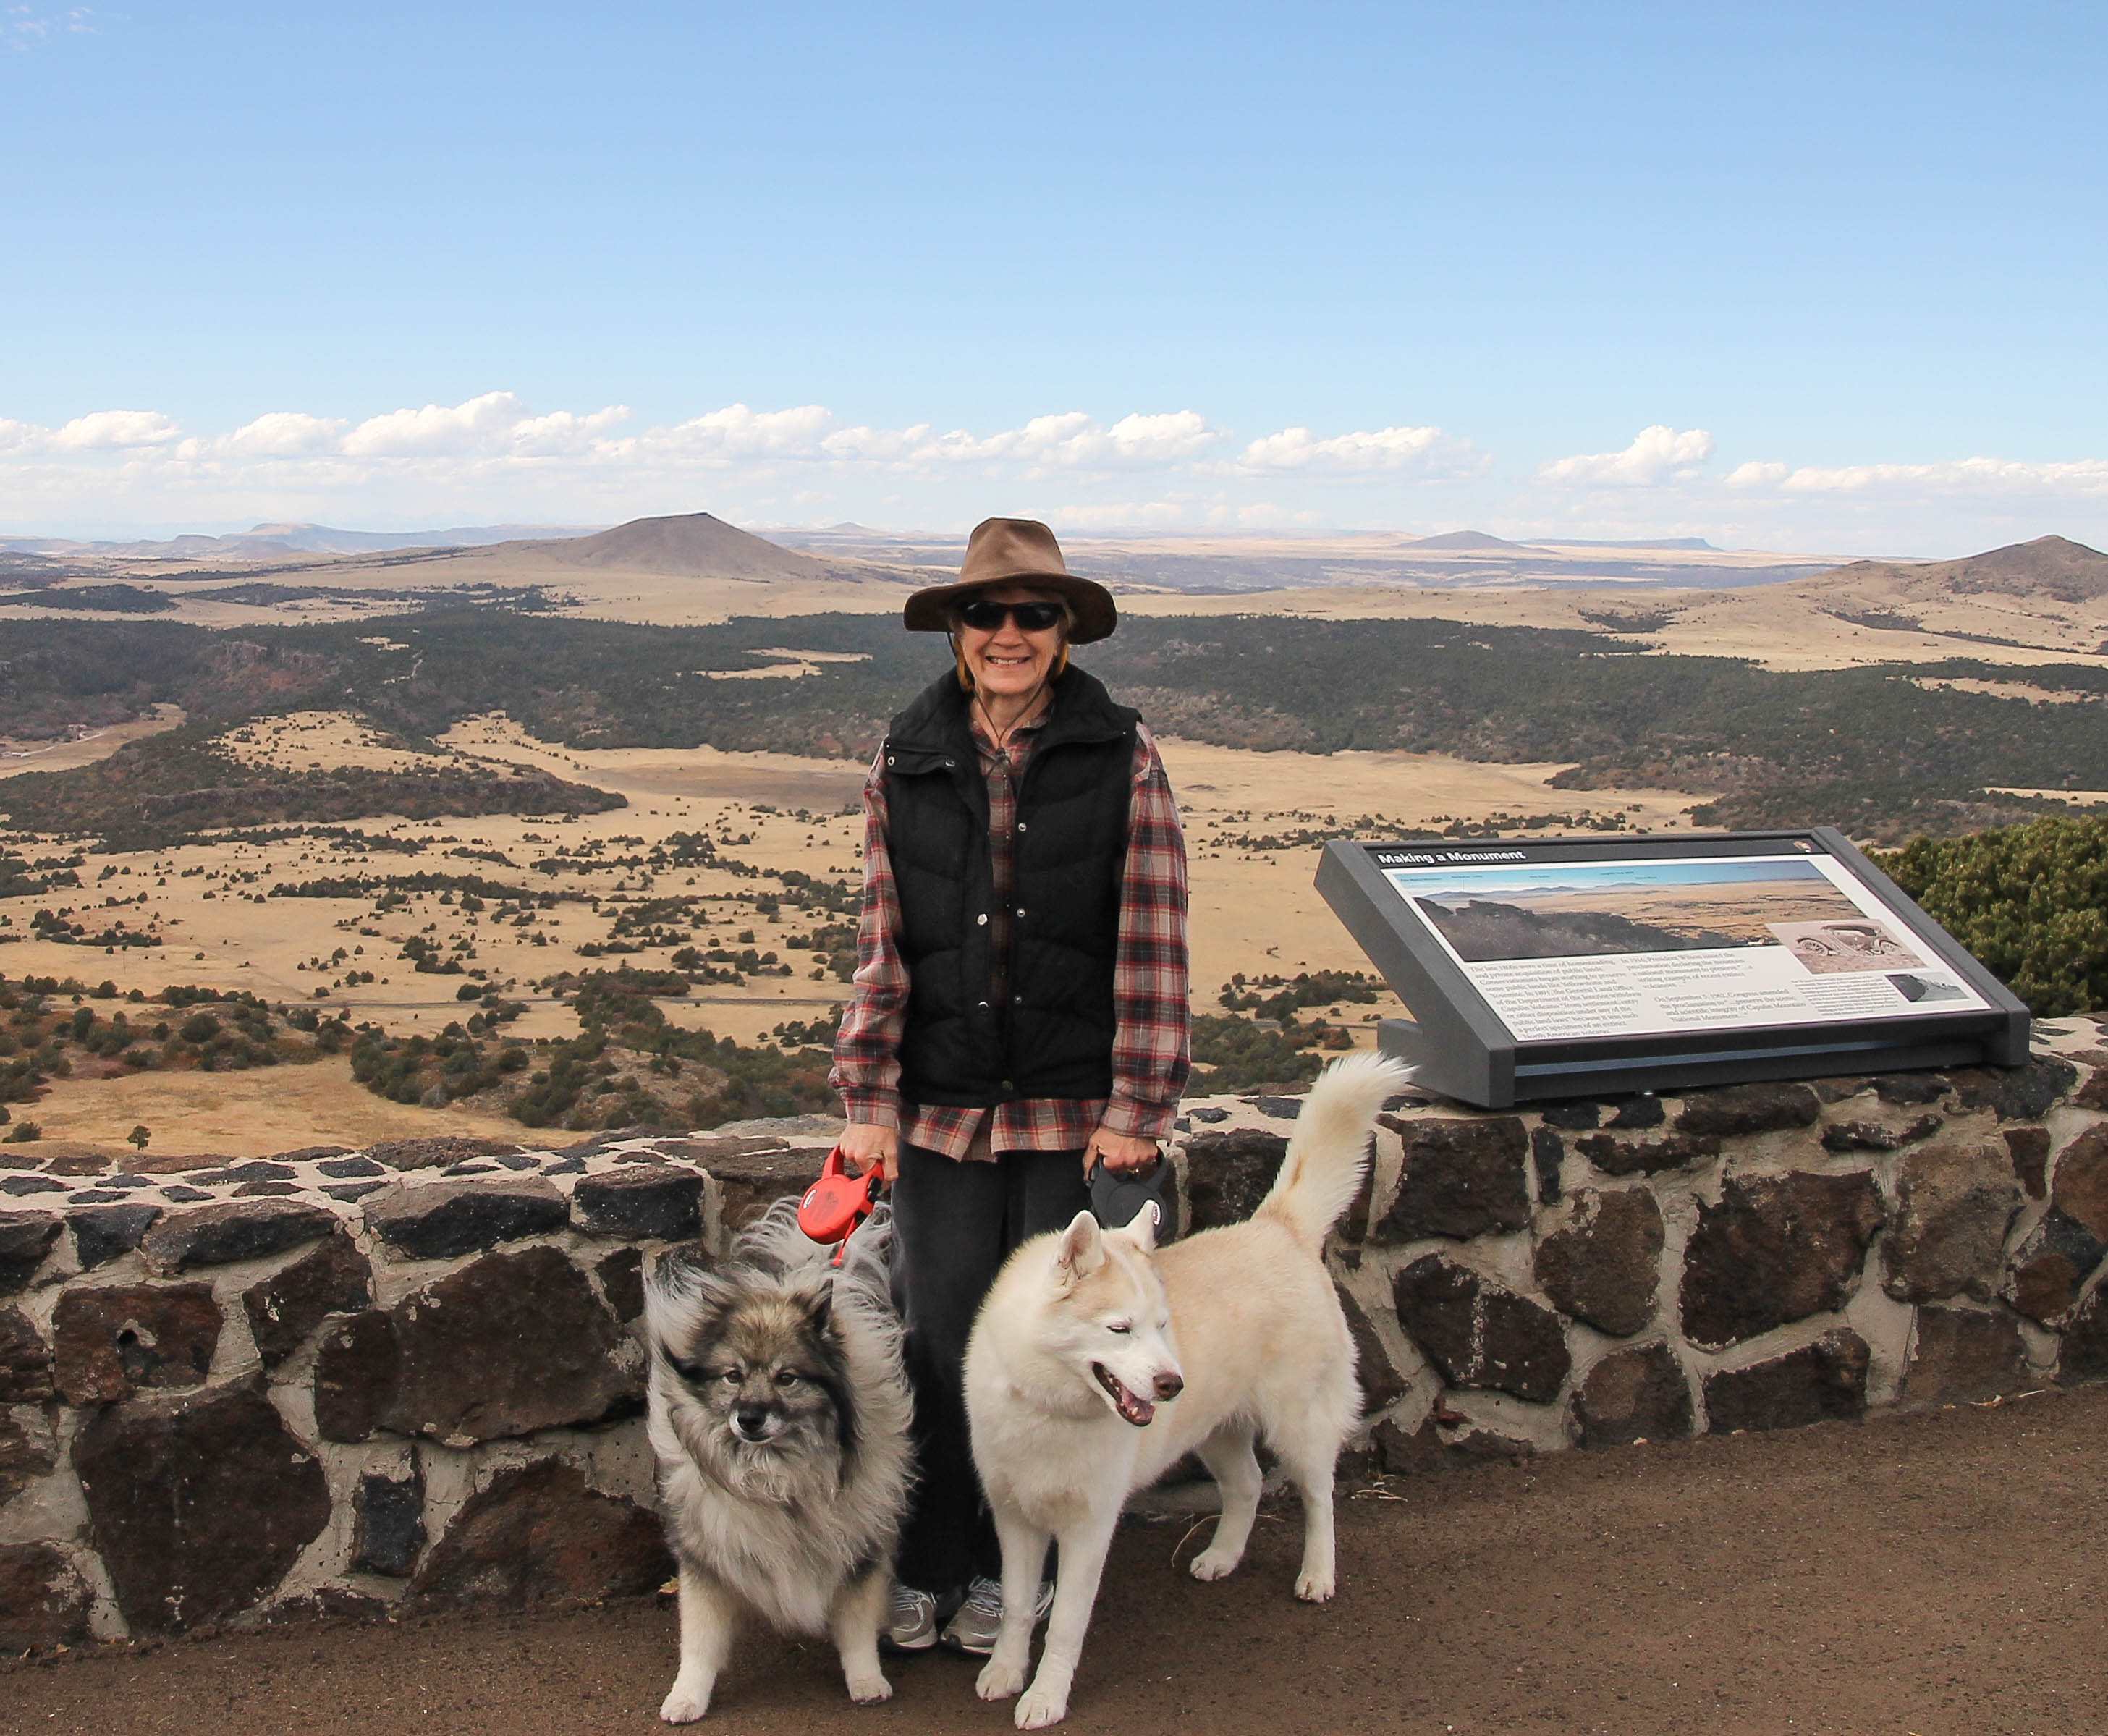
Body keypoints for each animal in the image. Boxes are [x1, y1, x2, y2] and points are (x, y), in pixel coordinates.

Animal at [643, 1201, 913, 1722]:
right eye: (733, 1376)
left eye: (786, 1378)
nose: (748, 1418)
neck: (777, 1473)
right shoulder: (706, 1557)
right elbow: (699, 1642)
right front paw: (686, 1697)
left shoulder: (861, 1548)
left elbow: (856, 1629)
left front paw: (866, 1680)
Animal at [963, 1051, 1408, 1728]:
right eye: (1120, 1328)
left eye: (1162, 1325)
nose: (1172, 1382)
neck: (1049, 1407)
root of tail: (1276, 1227)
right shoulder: (1015, 1519)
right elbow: (1016, 1607)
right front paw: (1005, 1671)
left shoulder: (1089, 1529)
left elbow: (1064, 1625)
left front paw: (1046, 1696)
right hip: (1218, 1432)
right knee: (1247, 1485)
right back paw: (1222, 1556)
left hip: (1297, 1426)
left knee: (1319, 1495)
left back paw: (1317, 1573)